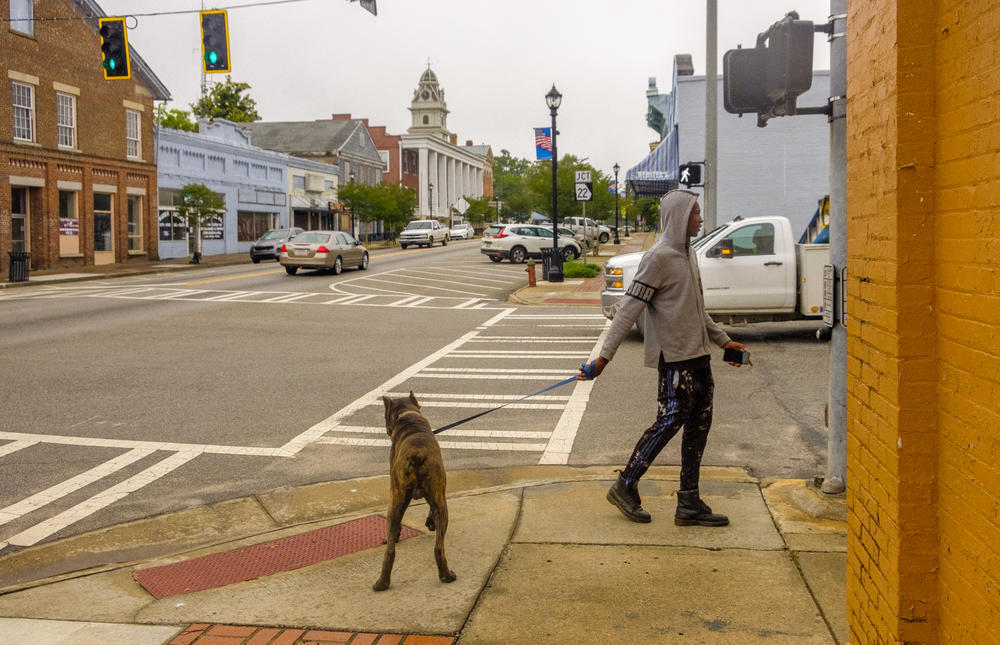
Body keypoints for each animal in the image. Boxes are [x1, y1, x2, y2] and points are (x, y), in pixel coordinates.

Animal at [372, 390, 458, 592]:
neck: (407, 416)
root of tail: (417, 454)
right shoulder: (437, 493)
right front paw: (430, 522)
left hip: (396, 502)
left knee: (390, 550)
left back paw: (383, 582)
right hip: (440, 503)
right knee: (438, 546)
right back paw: (445, 575)